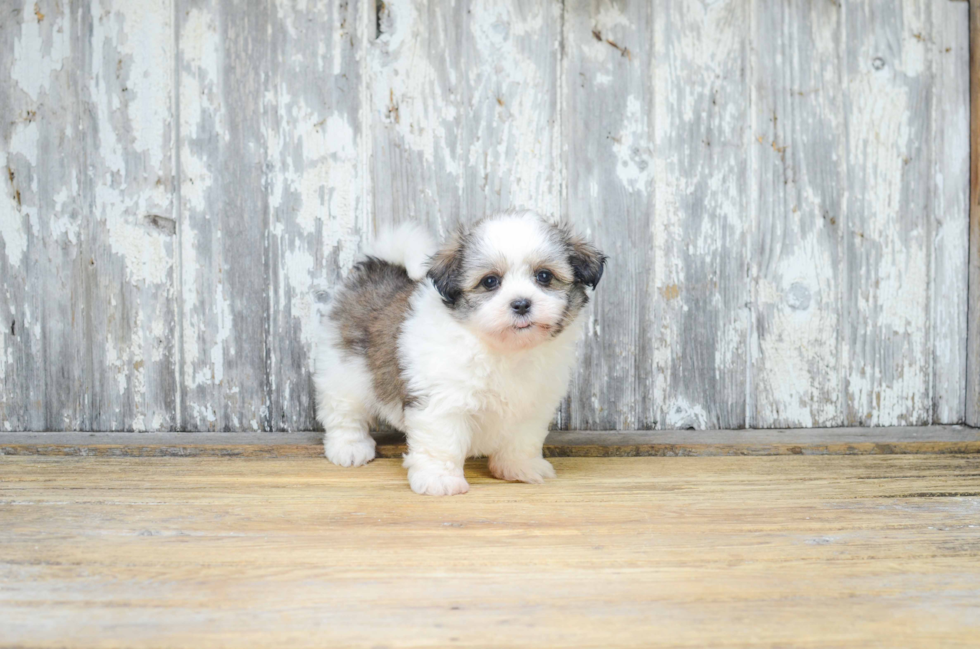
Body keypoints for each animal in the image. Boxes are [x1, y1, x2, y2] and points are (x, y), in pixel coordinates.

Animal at [314, 210, 604, 494]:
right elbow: (443, 442)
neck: (504, 349)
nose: (521, 304)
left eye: (544, 276)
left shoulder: (533, 405)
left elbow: (522, 439)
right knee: (343, 411)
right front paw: (439, 479)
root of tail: (377, 267)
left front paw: (518, 467)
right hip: (345, 369)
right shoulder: (442, 401)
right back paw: (349, 447)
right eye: (490, 282)